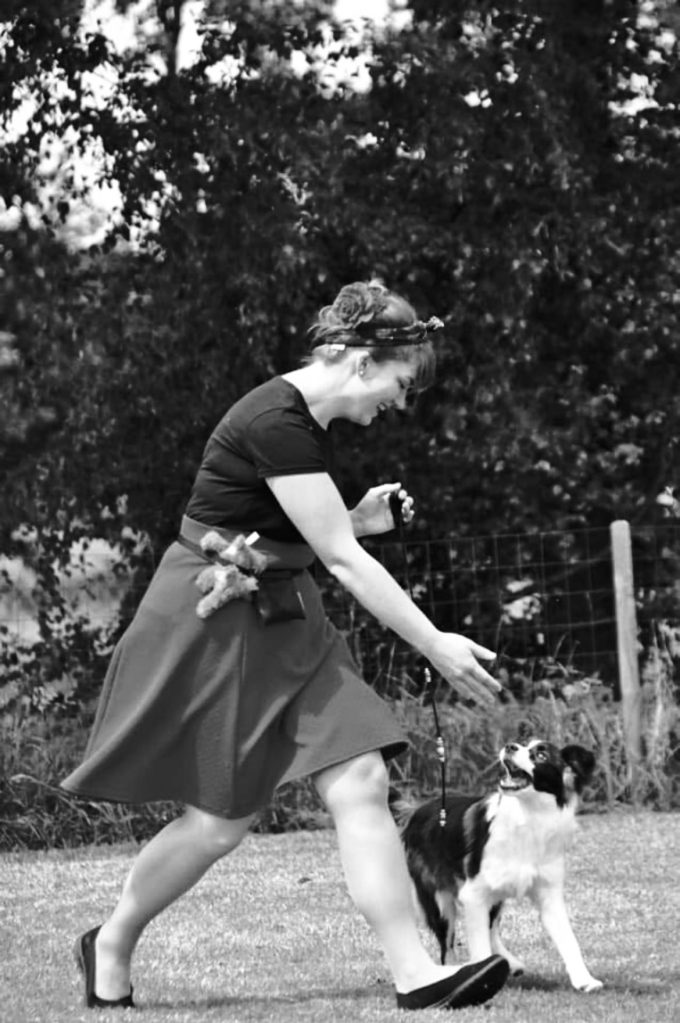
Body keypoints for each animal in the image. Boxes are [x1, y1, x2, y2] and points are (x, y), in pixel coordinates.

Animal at [400, 739, 603, 992]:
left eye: (541, 755)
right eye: (524, 744)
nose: (510, 746)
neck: (529, 816)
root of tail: (416, 810)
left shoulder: (549, 895)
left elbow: (568, 939)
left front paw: (585, 980)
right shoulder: (473, 894)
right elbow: (479, 945)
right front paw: (481, 979)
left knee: (491, 927)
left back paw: (509, 962)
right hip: (439, 900)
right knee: (448, 945)